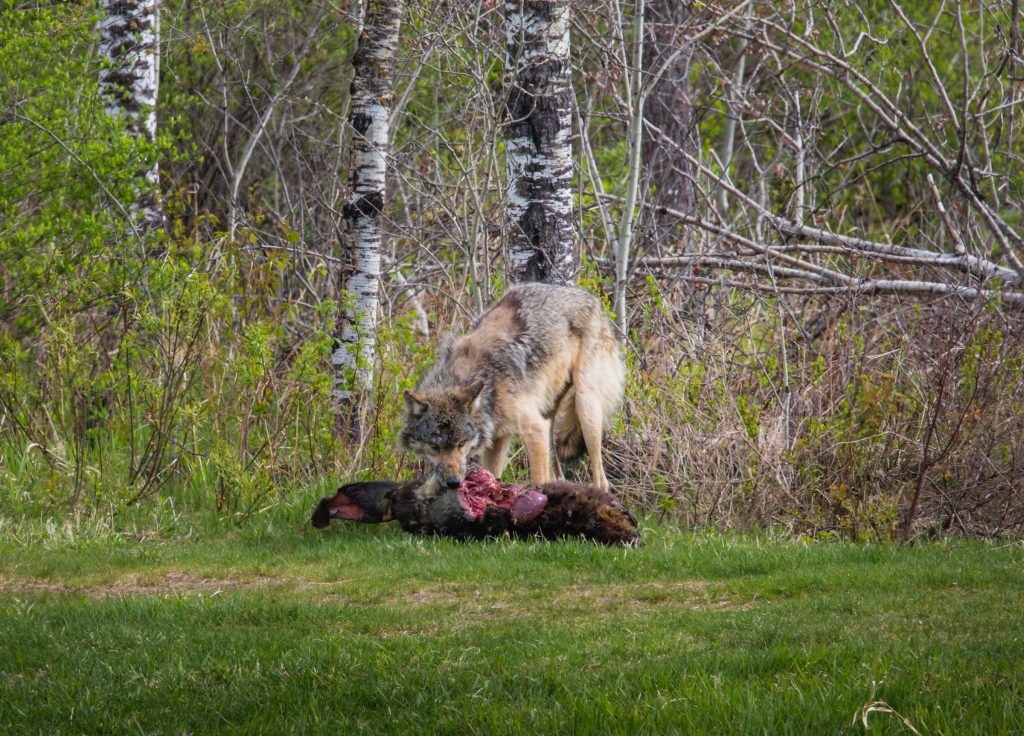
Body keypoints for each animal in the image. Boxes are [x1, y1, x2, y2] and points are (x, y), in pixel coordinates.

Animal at [399, 284, 622, 491]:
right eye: (434, 446)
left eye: (461, 444)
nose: (453, 482)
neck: (487, 380)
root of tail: (592, 299)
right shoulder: (498, 438)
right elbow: (492, 476)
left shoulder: (534, 429)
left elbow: (537, 480)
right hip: (549, 418)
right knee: (558, 476)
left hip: (585, 409)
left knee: (601, 480)